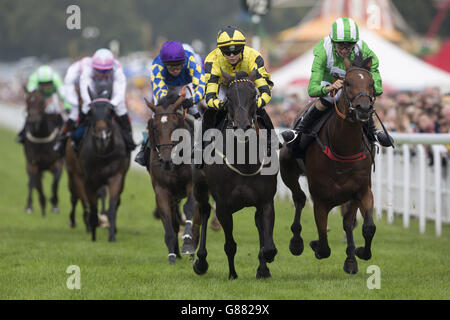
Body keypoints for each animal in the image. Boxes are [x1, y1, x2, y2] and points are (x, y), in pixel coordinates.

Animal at [79, 89, 130, 241]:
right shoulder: (90, 179)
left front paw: (112, 236)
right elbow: (93, 206)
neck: (103, 154)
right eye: (90, 111)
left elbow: (112, 206)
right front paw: (94, 235)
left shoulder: (116, 176)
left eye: (110, 111)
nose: (102, 136)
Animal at [142, 90, 195, 264]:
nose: (166, 160)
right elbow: (167, 220)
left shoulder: (192, 185)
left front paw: (188, 243)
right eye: (155, 127)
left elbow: (189, 209)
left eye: (175, 126)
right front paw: (172, 255)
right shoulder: (162, 191)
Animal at [192, 70, 278, 280]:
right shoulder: (223, 205)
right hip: (200, 188)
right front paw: (232, 274)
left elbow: (268, 246)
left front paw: (264, 268)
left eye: (254, 95)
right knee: (204, 210)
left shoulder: (266, 201)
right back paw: (201, 261)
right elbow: (230, 245)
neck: (244, 162)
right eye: (229, 98)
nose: (242, 127)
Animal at [280, 55, 378, 276]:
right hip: (287, 170)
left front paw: (359, 253)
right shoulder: (320, 198)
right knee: (299, 198)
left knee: (348, 223)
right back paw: (296, 242)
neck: (344, 149)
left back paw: (350, 258)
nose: (364, 109)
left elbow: (367, 227)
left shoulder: (362, 190)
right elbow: (324, 244)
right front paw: (314, 245)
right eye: (347, 83)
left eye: (371, 84)